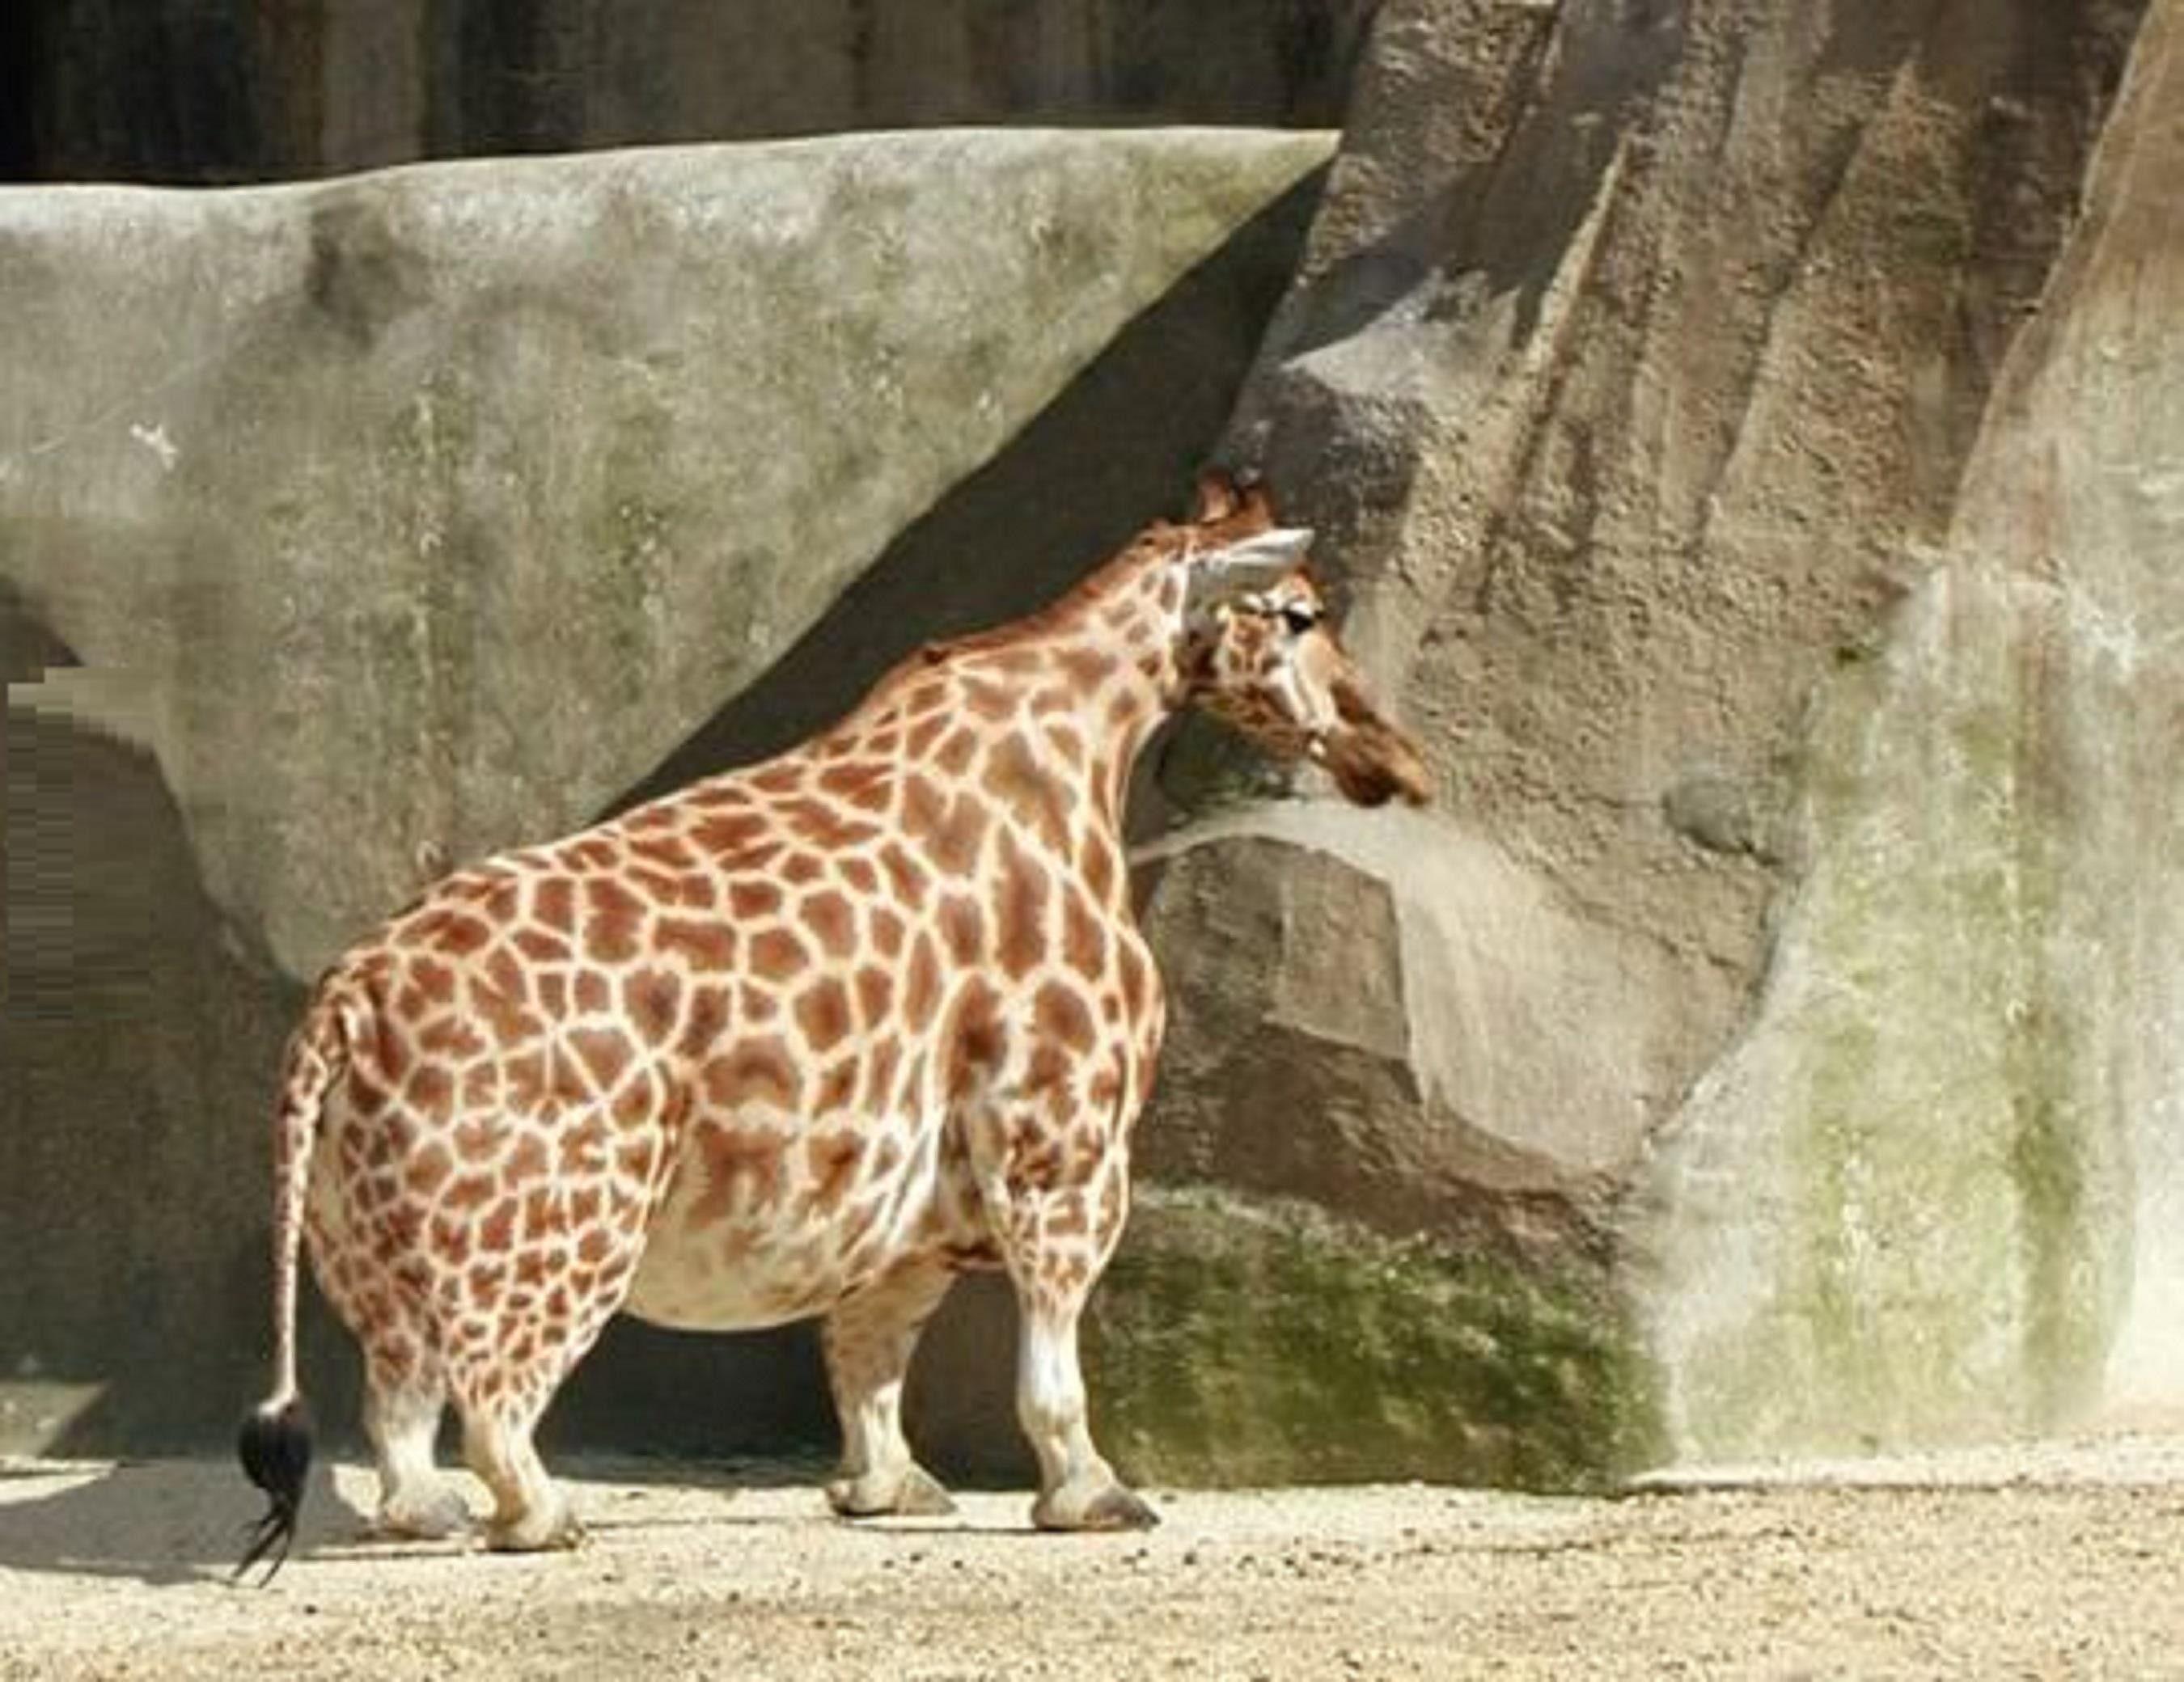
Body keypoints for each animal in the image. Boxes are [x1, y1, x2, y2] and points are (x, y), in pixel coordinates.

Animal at [235, 471, 1430, 1576]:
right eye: (1302, 614)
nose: (1397, 758)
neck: (1083, 742)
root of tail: (345, 1004)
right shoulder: (1062, 1138)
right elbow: (1047, 1367)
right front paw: (1093, 1496)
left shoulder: (918, 1187)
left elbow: (869, 1347)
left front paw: (886, 1489)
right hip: (562, 1223)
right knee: (492, 1399)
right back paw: (544, 1517)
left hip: (364, 1237)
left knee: (398, 1406)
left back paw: (431, 1514)